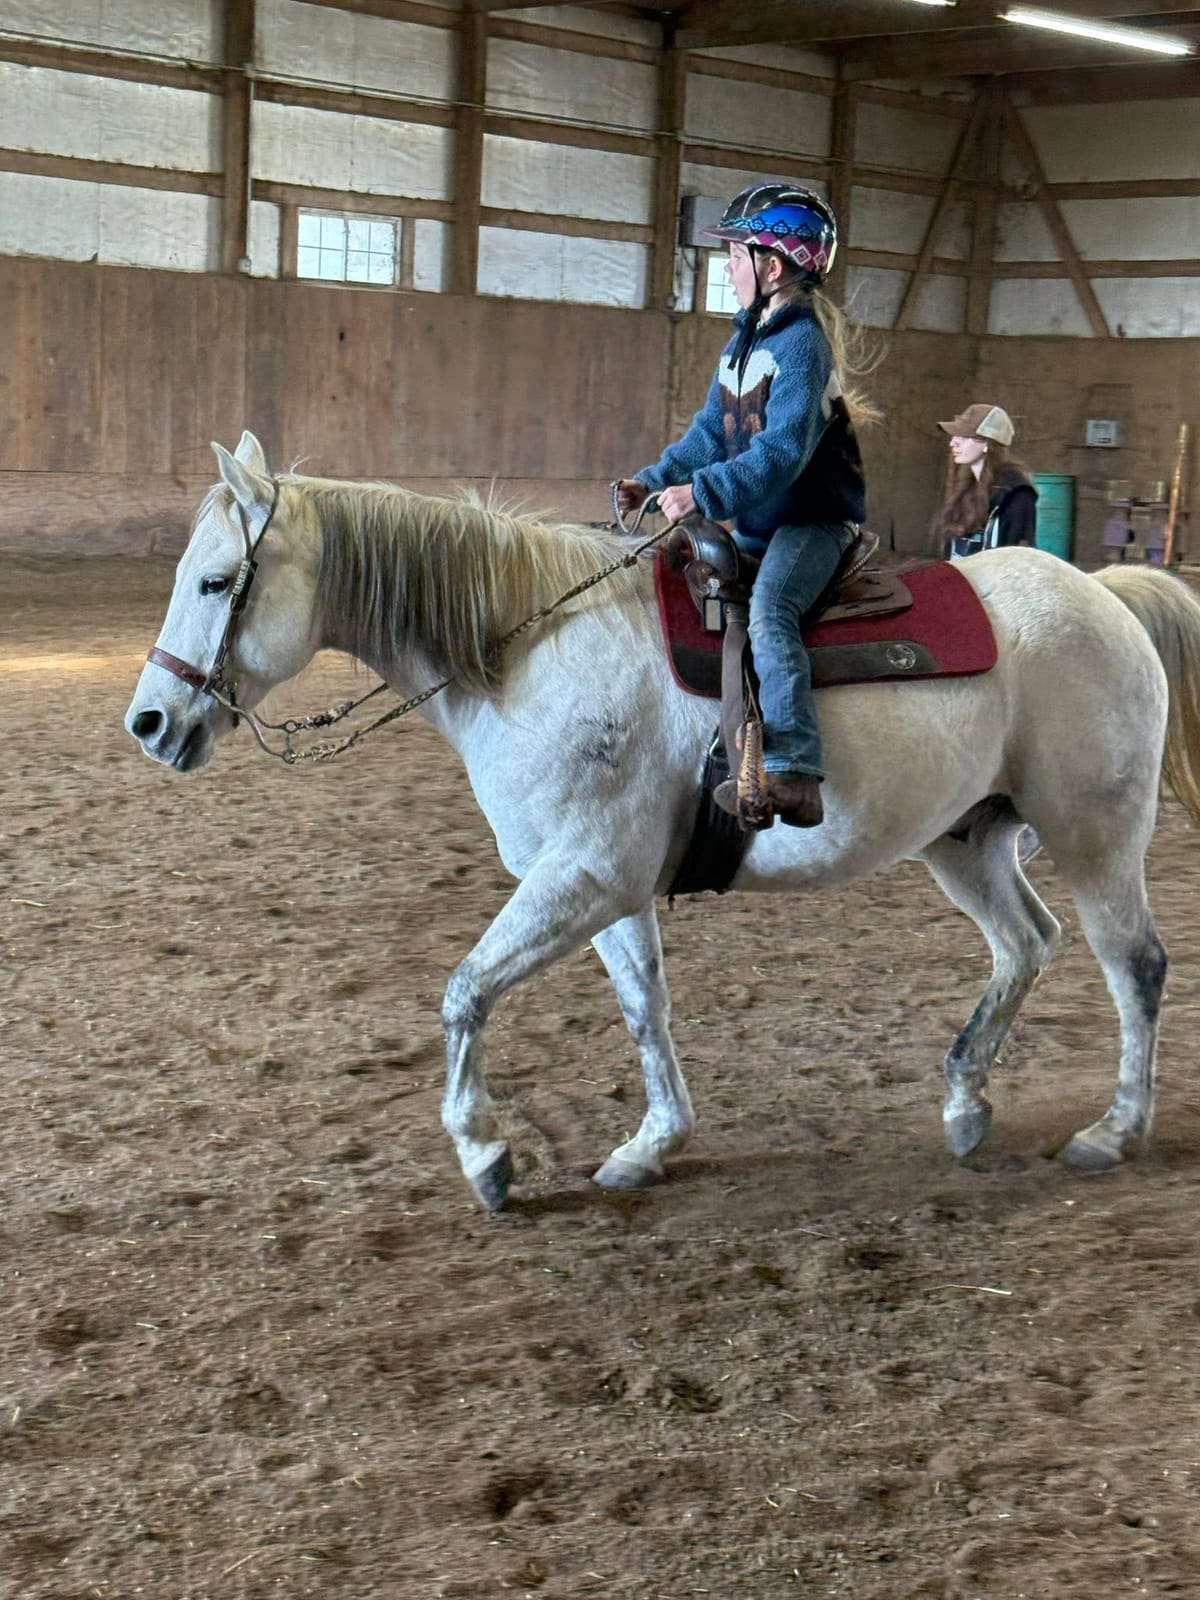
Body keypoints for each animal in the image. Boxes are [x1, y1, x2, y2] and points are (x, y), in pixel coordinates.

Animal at [125, 431, 1200, 1211]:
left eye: (218, 580)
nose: (150, 723)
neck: (528, 649)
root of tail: (1102, 593)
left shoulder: (582, 876)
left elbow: (465, 994)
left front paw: (486, 1157)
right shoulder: (612, 888)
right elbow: (647, 1008)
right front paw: (650, 1146)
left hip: (1096, 836)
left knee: (1133, 965)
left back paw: (1113, 1131)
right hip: (966, 840)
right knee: (1026, 945)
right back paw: (967, 1103)